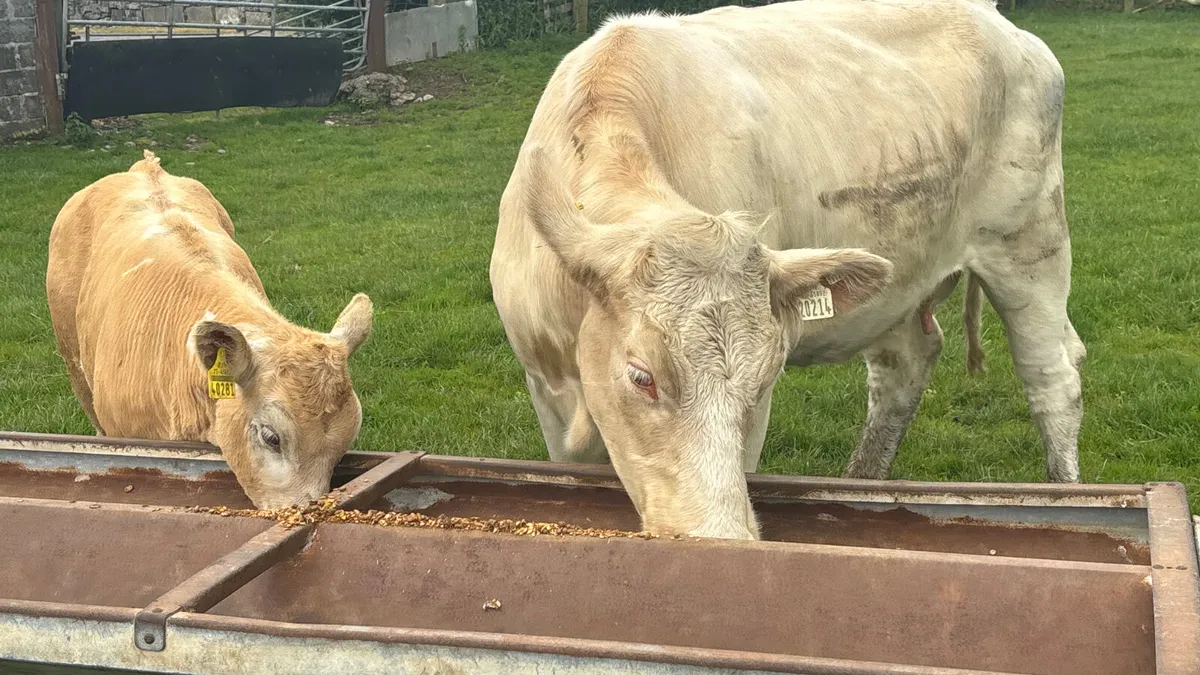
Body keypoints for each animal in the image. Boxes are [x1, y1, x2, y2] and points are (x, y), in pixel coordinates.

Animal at [490, 0, 1084, 539]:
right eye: (642, 376)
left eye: (763, 380)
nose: (719, 536)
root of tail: (998, 20)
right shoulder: (544, 384)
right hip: (902, 279)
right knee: (905, 365)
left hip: (1031, 243)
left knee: (1052, 376)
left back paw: (1066, 495)